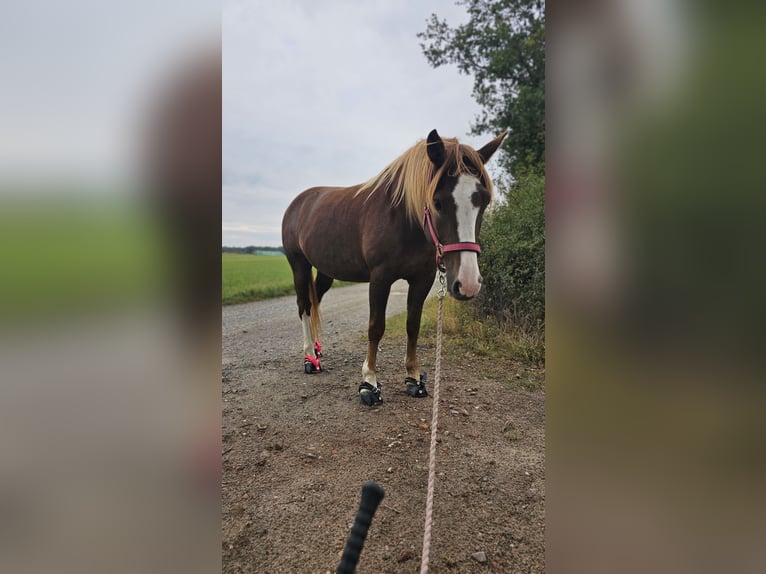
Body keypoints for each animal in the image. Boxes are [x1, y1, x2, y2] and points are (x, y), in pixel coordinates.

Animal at [282, 128, 510, 408]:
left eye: (484, 201)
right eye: (438, 202)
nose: (467, 284)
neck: (404, 218)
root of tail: (299, 202)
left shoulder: (422, 279)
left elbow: (413, 324)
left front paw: (413, 378)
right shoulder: (380, 278)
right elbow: (376, 327)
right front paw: (369, 382)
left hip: (326, 271)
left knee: (315, 302)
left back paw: (316, 349)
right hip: (299, 265)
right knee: (304, 305)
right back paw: (309, 358)